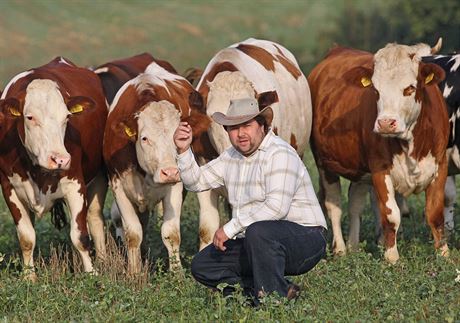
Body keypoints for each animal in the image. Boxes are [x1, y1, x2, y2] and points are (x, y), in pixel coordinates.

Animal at [0, 57, 108, 280]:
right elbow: (26, 237)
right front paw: (29, 277)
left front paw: (92, 273)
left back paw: (103, 261)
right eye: (30, 117)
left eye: (66, 117)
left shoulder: (75, 186)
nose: (60, 159)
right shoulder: (9, 188)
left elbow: (80, 236)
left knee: (94, 219)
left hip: (99, 176)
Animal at [103, 60, 210, 274]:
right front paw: (134, 273)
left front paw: (177, 274)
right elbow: (133, 234)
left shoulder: (175, 187)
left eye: (181, 136)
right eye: (144, 138)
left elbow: (171, 233)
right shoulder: (118, 186)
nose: (169, 172)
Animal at [310, 39, 450, 264]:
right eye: (375, 90)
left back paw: (354, 246)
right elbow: (391, 215)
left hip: (359, 172)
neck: (410, 143)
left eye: (410, 88)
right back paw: (340, 249)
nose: (385, 123)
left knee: (355, 203)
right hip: (324, 163)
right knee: (334, 206)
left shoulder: (440, 164)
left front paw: (444, 255)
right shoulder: (379, 170)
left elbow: (435, 213)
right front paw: (391, 257)